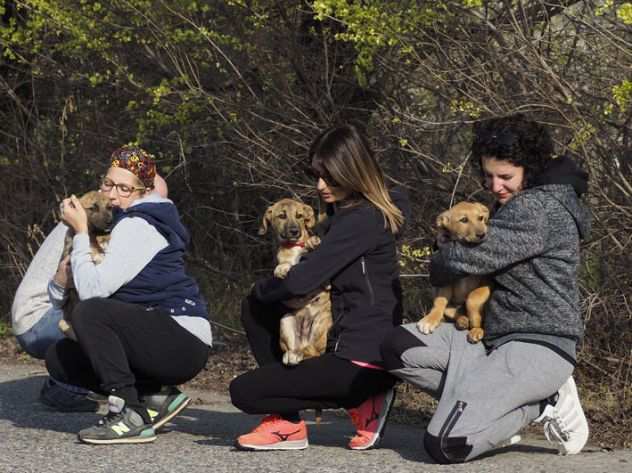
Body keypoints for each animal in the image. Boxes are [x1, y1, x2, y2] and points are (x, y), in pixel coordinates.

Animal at [258, 197, 334, 364]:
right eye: (282, 216)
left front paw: (312, 242)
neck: (295, 246)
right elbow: (284, 263)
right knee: (296, 350)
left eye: (300, 216)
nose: (295, 231)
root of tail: (304, 343)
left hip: (321, 322)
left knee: (315, 352)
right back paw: (292, 355)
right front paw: (281, 268)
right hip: (285, 321)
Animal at [420, 201, 494, 342]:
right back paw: (462, 321)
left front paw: (476, 327)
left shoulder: (486, 281)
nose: (482, 234)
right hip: (451, 307)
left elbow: (473, 298)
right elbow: (439, 302)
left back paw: (476, 329)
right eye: (464, 220)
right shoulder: (445, 280)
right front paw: (430, 319)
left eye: (481, 218)